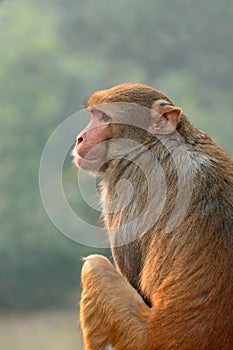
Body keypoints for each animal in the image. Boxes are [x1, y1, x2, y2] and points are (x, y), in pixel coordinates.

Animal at [72, 82, 233, 350]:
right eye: (94, 115)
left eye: (104, 117)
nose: (80, 138)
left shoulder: (126, 184)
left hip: (138, 339)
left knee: (94, 267)